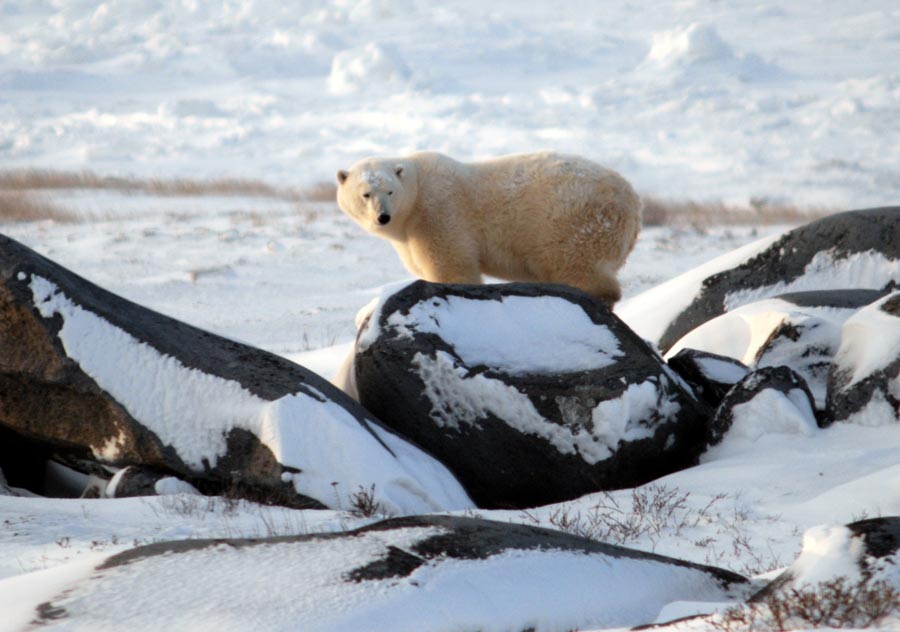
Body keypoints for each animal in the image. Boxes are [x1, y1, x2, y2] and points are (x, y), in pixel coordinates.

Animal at [336, 151, 640, 304]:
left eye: (389, 191)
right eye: (365, 194)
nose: (383, 217)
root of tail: (631, 199)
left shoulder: (438, 212)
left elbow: (452, 266)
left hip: (573, 218)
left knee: (574, 263)